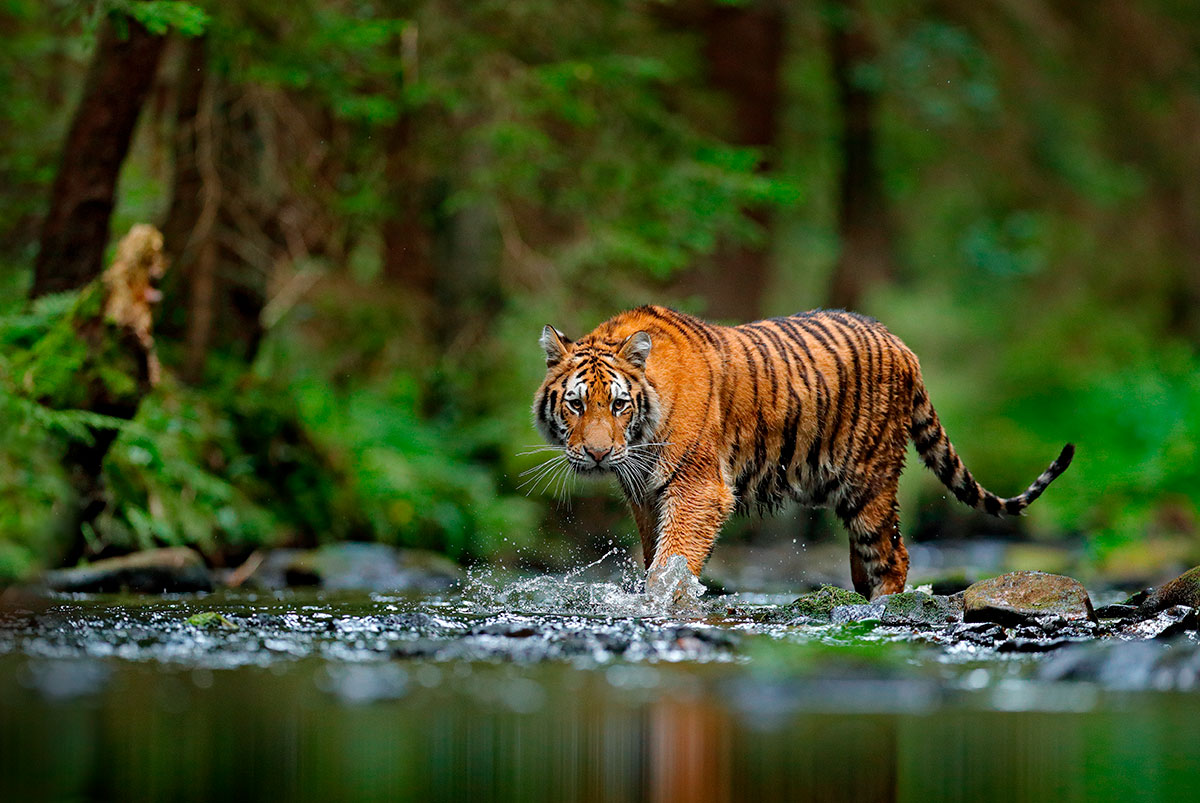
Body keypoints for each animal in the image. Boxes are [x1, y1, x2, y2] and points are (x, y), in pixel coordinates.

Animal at [530, 303, 1075, 597]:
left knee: (893, 554)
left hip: (869, 481)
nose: (598, 454)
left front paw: (662, 602)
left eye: (619, 404)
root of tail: (902, 345)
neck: (641, 437)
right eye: (576, 404)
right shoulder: (645, 494)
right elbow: (654, 556)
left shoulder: (698, 489)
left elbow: (672, 562)